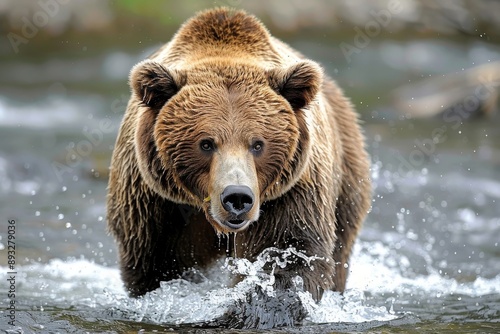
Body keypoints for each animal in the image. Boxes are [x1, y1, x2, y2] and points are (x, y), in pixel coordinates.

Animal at [106, 7, 372, 306]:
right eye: (206, 144)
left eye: (257, 144)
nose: (237, 197)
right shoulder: (154, 207)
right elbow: (155, 268)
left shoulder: (290, 194)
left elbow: (289, 256)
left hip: (346, 185)